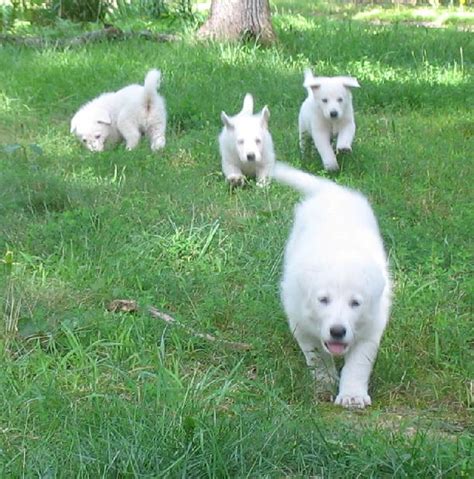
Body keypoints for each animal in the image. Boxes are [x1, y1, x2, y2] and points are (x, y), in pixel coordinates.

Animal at [272, 161, 390, 408]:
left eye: (355, 303)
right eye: (323, 300)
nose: (337, 331)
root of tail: (332, 192)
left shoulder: (371, 326)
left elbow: (358, 364)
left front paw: (352, 395)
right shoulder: (301, 322)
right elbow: (318, 356)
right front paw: (325, 383)